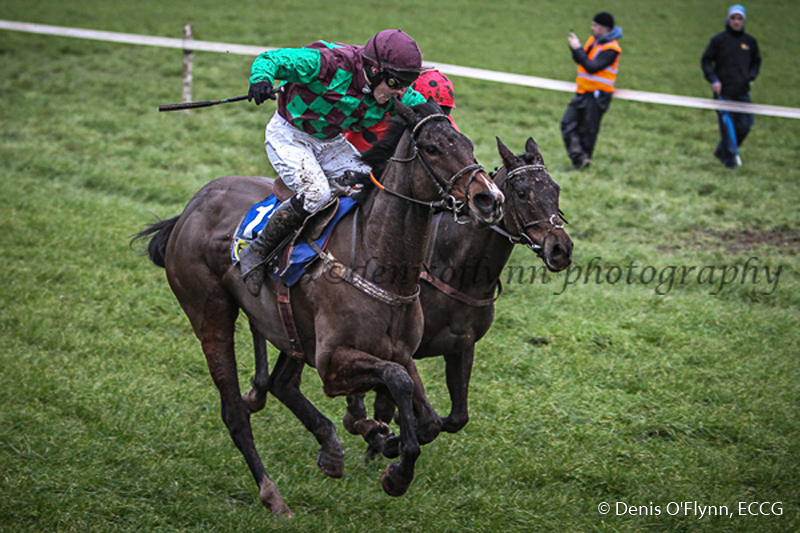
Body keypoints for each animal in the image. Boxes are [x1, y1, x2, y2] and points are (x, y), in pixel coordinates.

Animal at [134, 97, 504, 512]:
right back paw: (273, 496)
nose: (489, 198)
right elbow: (397, 380)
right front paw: (390, 458)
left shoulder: (401, 351)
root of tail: (191, 206)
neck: (376, 261)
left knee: (281, 384)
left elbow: (423, 413)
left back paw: (329, 448)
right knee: (234, 412)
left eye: (468, 144)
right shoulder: (332, 364)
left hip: (288, 326)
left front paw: (388, 449)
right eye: (433, 148)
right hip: (210, 314)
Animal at [340, 137, 572, 448]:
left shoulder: (462, 346)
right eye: (522, 193)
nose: (560, 249)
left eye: (555, 189)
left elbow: (456, 418)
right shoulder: (401, 350)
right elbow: (422, 417)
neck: (459, 273)